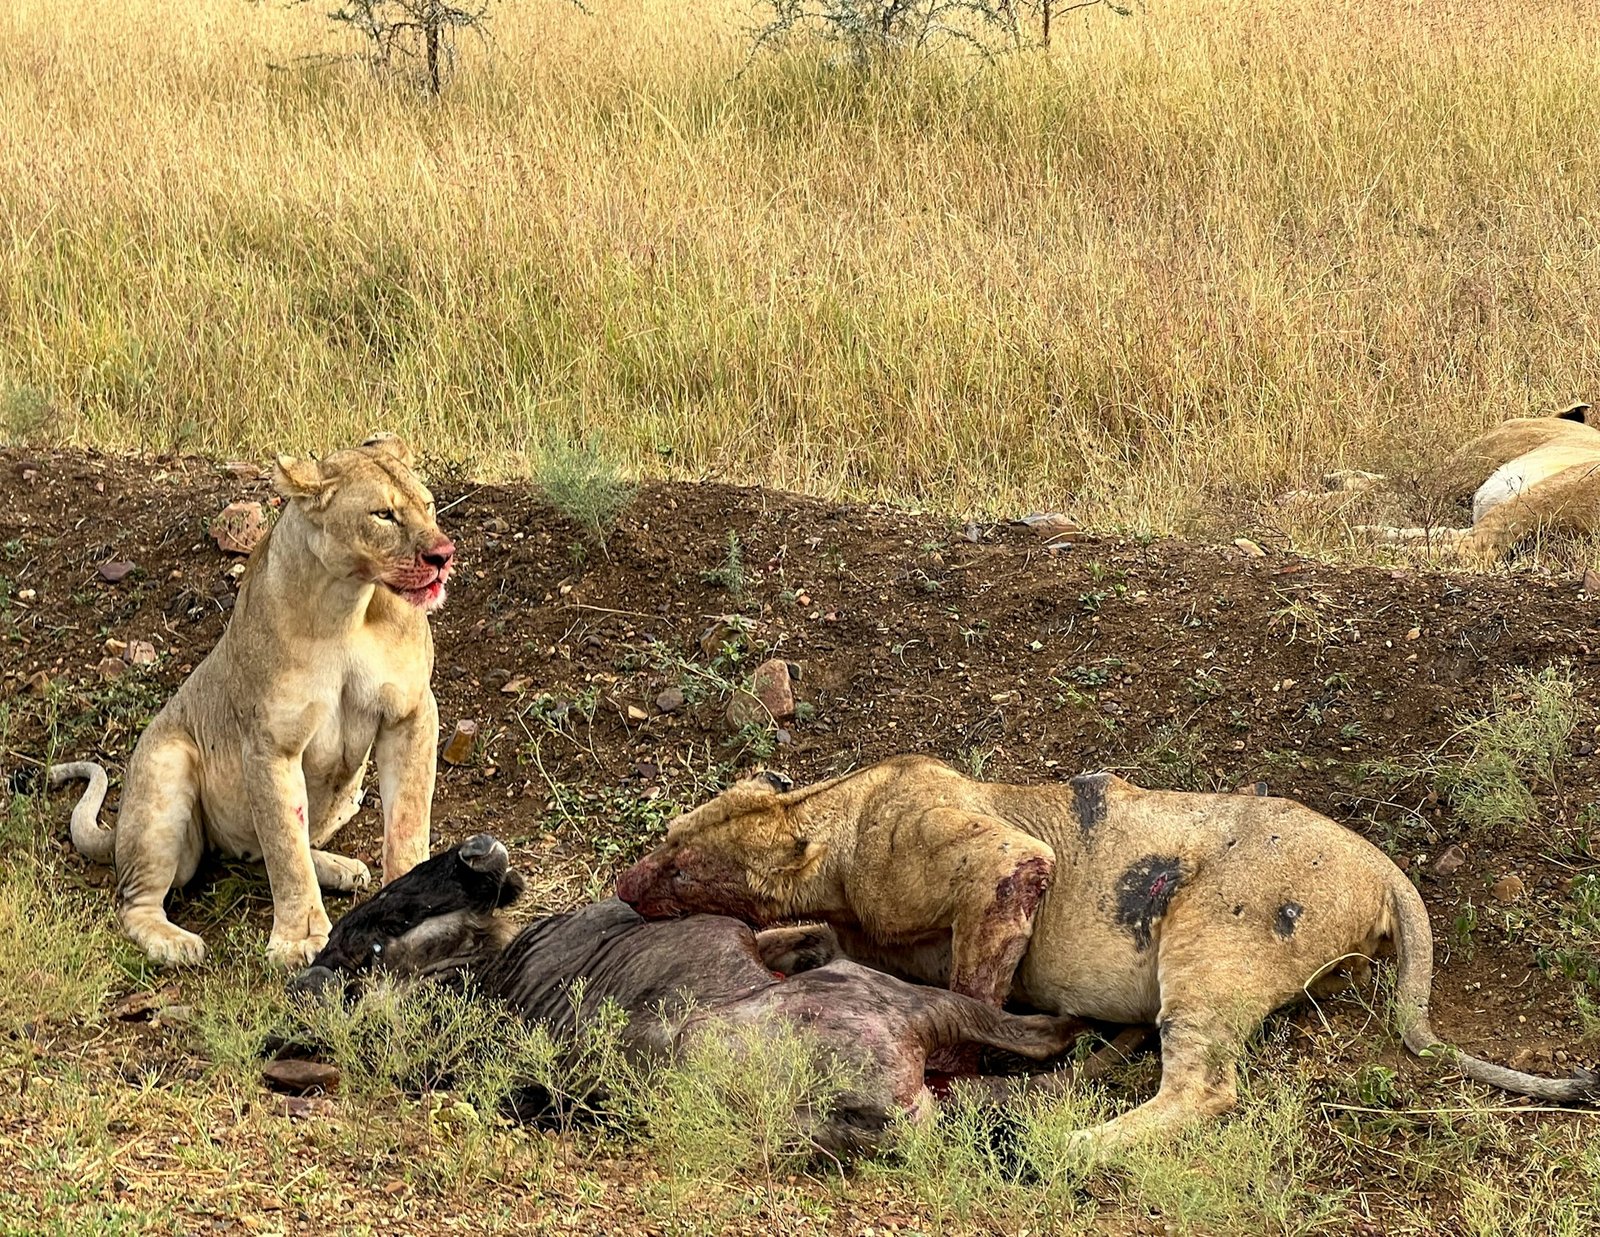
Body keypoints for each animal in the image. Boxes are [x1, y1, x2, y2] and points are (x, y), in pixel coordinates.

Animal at [47, 434, 455, 968]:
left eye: (428, 505)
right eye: (383, 515)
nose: (444, 554)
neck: (350, 603)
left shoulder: (411, 713)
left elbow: (407, 820)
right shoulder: (270, 743)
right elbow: (284, 847)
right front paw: (300, 939)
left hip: (348, 796)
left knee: (270, 850)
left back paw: (339, 868)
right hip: (165, 770)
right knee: (136, 901)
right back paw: (175, 943)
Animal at [616, 759, 1597, 1145]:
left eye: (681, 859)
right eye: (666, 838)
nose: (624, 880)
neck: (833, 821)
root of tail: (1385, 865)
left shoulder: (997, 860)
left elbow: (977, 988)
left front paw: (970, 1069)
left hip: (1210, 937)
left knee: (1204, 1088)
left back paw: (1073, 1141)